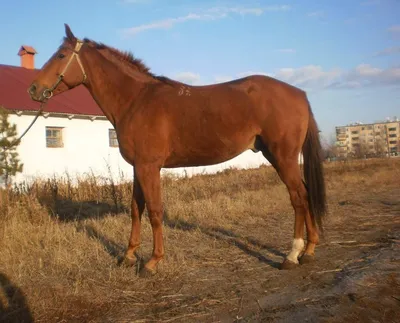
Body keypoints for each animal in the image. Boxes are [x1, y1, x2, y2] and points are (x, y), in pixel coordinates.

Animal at [28, 24, 328, 278]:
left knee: (298, 197)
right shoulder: (138, 167)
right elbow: (136, 209)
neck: (136, 100)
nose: (34, 89)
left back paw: (292, 255)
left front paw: (152, 262)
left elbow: (155, 211)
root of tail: (300, 94)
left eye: (61, 55)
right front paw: (128, 256)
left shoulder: (149, 167)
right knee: (305, 192)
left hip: (282, 156)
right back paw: (310, 250)